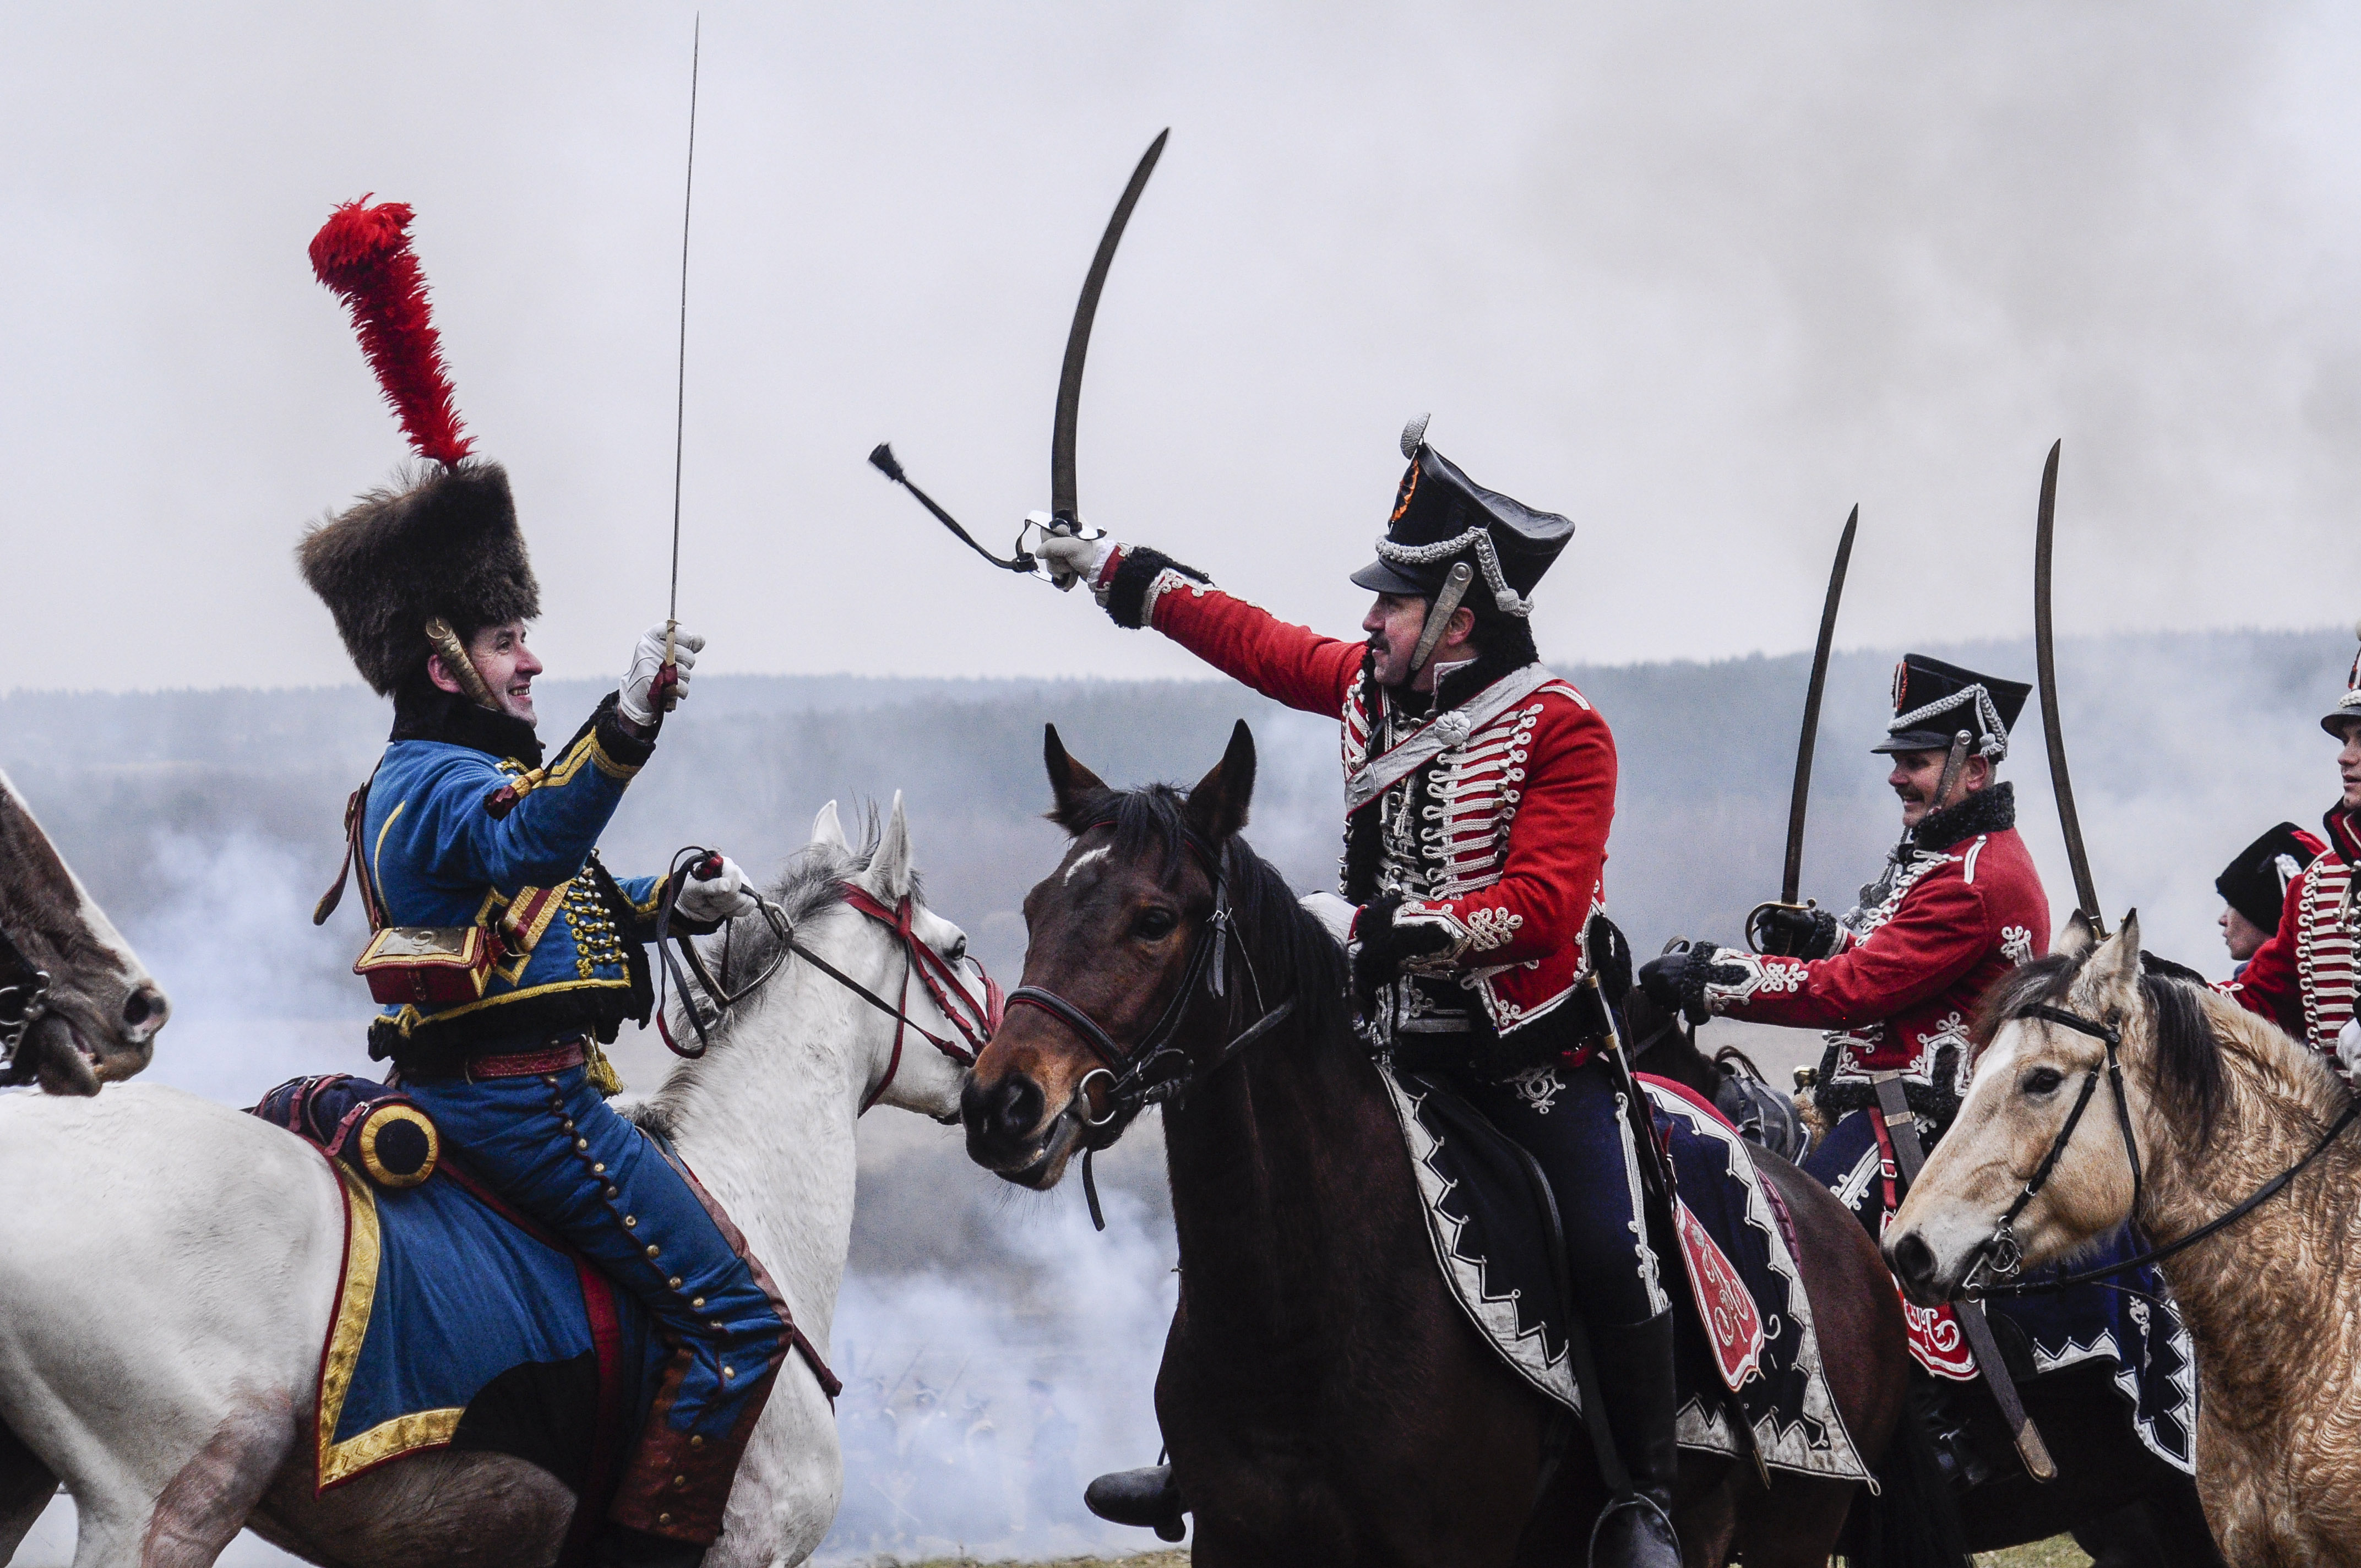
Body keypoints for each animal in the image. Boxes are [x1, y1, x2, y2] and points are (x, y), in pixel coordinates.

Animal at [959, 721, 1911, 1568]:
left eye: (1155, 920)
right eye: (1035, 909)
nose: (1002, 1104)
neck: (1295, 1317)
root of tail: (1847, 1236)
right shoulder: (1236, 1542)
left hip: (1794, 1530)